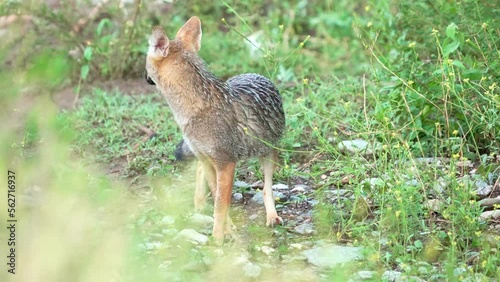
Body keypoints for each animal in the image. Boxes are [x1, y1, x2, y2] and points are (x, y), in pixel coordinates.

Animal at [145, 16, 286, 245]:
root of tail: (256, 74)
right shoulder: (209, 160)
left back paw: (272, 216)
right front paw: (227, 232)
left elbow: (220, 206)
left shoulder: (225, 164)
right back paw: (199, 203)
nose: (144, 77)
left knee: (266, 188)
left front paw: (217, 240)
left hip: (268, 154)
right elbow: (220, 201)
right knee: (200, 172)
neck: (194, 111)